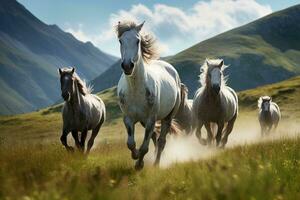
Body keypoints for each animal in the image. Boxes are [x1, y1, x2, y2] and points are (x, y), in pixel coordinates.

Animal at [116, 21, 182, 170]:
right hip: (143, 121)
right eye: (120, 41)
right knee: (154, 137)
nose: (127, 66)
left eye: (138, 41)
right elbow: (131, 143)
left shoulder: (151, 119)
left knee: (161, 140)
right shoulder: (128, 118)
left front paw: (139, 164)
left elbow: (144, 147)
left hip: (167, 118)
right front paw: (135, 157)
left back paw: (156, 164)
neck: (135, 90)